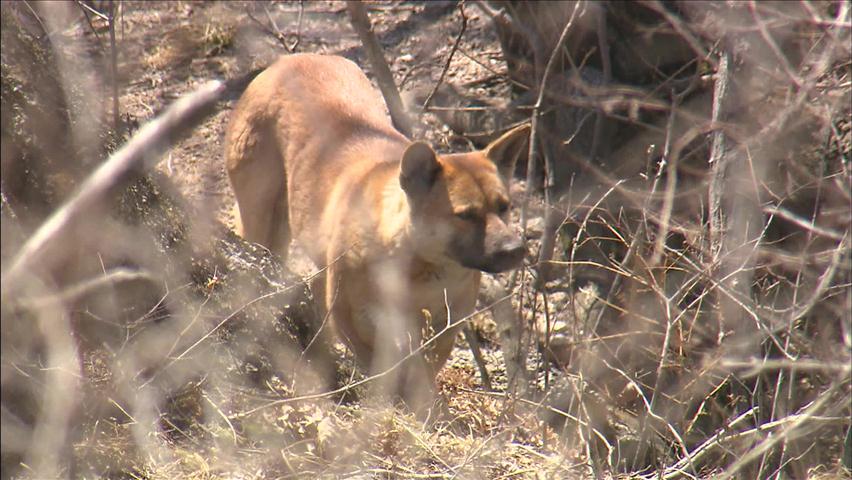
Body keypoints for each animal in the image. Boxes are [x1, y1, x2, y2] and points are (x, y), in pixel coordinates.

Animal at [226, 53, 528, 404]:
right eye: (466, 215)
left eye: (504, 206)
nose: (515, 250)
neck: (420, 264)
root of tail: (287, 60)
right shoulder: (349, 314)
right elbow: (380, 366)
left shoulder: (444, 323)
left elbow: (425, 370)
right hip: (262, 221)